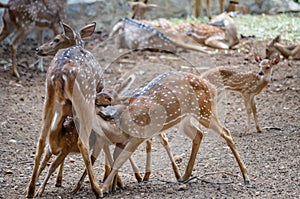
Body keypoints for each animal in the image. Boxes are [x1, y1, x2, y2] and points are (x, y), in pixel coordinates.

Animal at [96, 70, 248, 193]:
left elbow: (119, 160)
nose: (107, 114)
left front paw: (104, 189)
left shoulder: (137, 137)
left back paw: (246, 176)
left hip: (205, 111)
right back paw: (185, 176)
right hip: (184, 120)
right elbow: (115, 159)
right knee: (199, 134)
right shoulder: (122, 141)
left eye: (108, 100)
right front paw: (112, 187)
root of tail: (212, 88)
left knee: (225, 132)